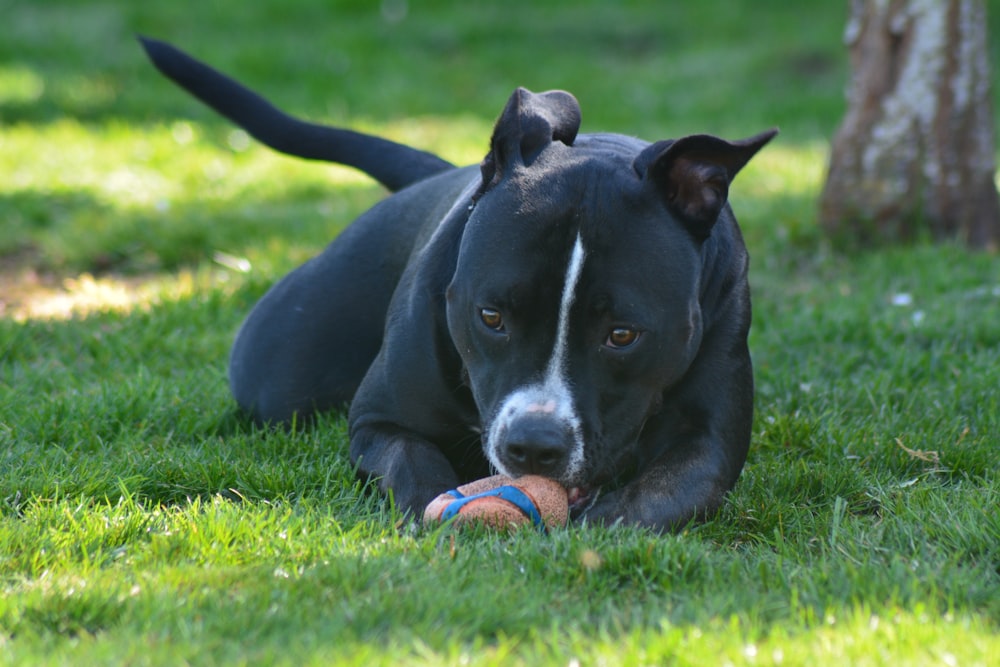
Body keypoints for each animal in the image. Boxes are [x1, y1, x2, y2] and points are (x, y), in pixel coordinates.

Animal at [141, 39, 776, 536]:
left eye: (623, 335)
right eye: (491, 317)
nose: (533, 446)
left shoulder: (708, 441)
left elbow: (663, 494)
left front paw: (602, 526)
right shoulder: (380, 421)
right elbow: (412, 463)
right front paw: (437, 508)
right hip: (281, 368)